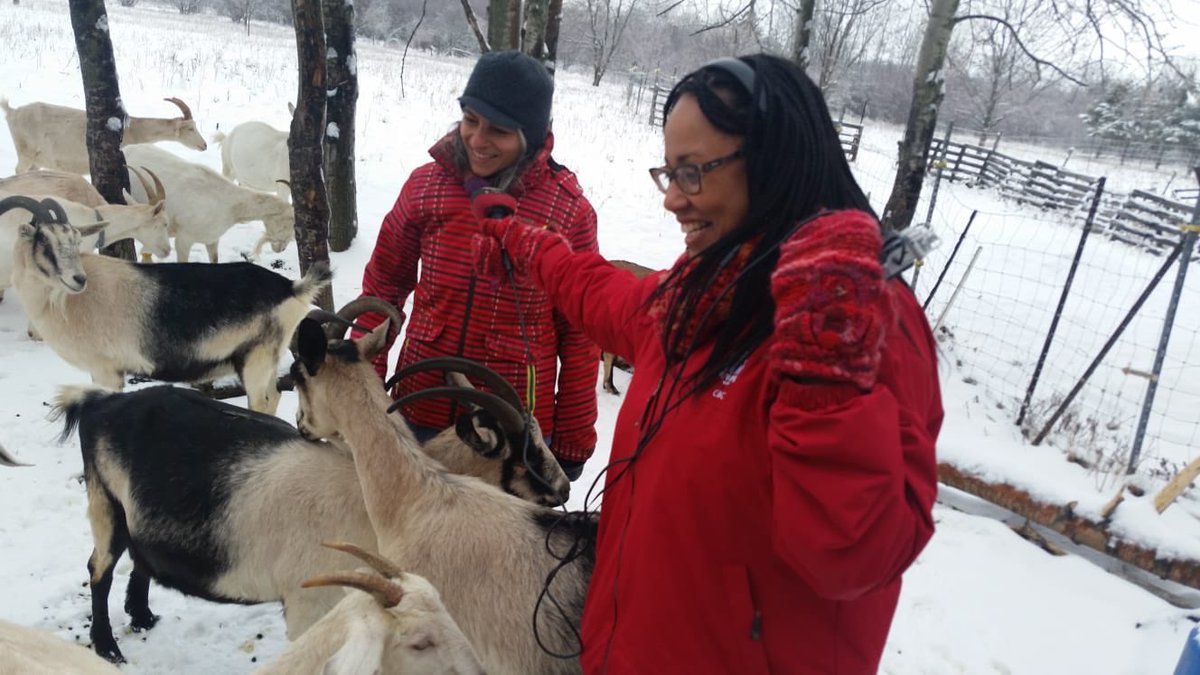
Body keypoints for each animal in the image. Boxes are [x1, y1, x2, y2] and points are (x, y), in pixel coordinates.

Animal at [0, 97, 206, 174]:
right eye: (190, 128)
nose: (204, 145)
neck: (132, 129)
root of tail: (12, 112)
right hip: (25, 150)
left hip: (37, 158)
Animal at [7, 197, 329, 413]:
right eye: (44, 241)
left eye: (75, 239)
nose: (77, 279)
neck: (66, 303)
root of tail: (291, 287)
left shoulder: (106, 369)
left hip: (256, 358)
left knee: (263, 401)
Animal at [122, 143, 294, 262]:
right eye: (290, 223)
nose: (281, 248)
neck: (229, 205)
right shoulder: (183, 239)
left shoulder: (212, 239)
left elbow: (214, 259)